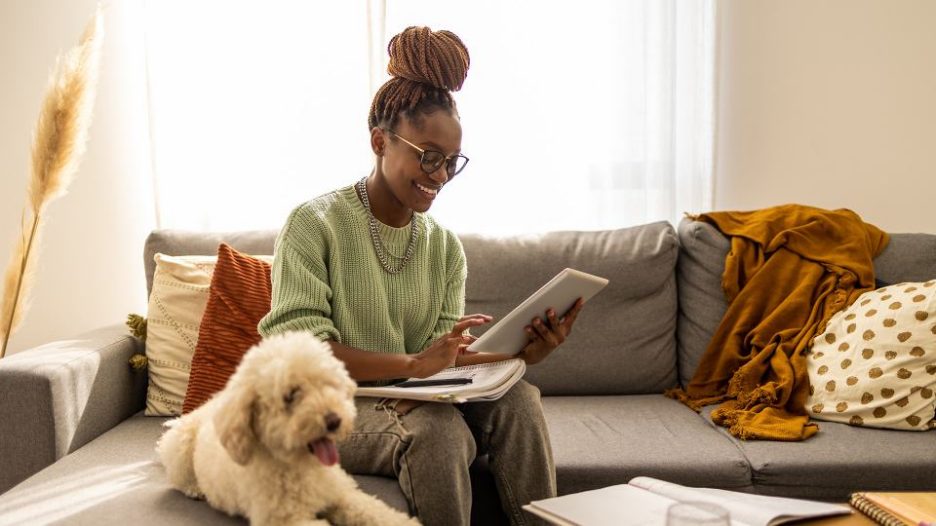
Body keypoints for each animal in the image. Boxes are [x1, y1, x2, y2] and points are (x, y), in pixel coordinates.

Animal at [156, 334, 416, 526]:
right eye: (290, 396)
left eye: (329, 385)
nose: (334, 420)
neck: (300, 467)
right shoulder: (285, 520)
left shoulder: (342, 494)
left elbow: (376, 512)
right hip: (179, 446)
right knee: (179, 478)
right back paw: (195, 488)